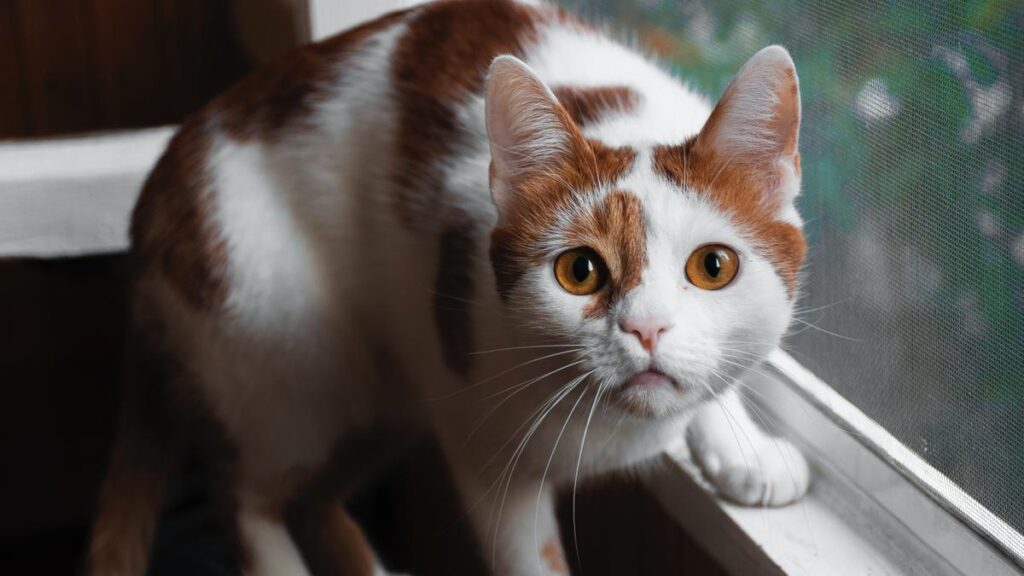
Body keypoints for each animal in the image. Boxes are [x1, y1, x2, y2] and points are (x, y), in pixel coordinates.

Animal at [88, 2, 806, 569]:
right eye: (580, 271)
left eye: (712, 267)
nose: (646, 328)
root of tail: (150, 199)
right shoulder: (484, 449)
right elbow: (528, 558)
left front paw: (743, 450)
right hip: (282, 362)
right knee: (242, 496)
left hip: (379, 392)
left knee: (311, 501)